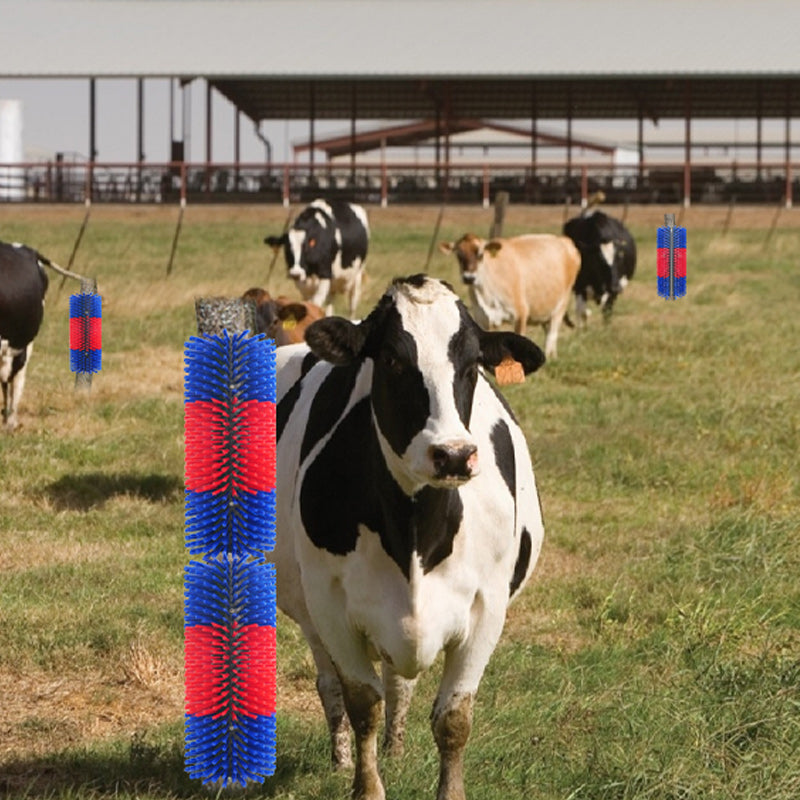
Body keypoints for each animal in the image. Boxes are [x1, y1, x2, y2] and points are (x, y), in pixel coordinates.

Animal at [274, 274, 546, 800]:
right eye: (393, 360)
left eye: (472, 365)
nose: (453, 454)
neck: (416, 533)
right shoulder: (330, 606)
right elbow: (363, 703)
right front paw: (365, 785)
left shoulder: (487, 608)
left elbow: (453, 718)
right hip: (305, 606)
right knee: (330, 683)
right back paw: (340, 758)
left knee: (399, 683)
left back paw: (396, 749)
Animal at [438, 232, 580, 359]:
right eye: (459, 255)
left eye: (480, 255)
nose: (469, 278)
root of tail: (563, 240)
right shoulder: (482, 318)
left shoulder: (521, 315)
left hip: (561, 306)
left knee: (552, 334)